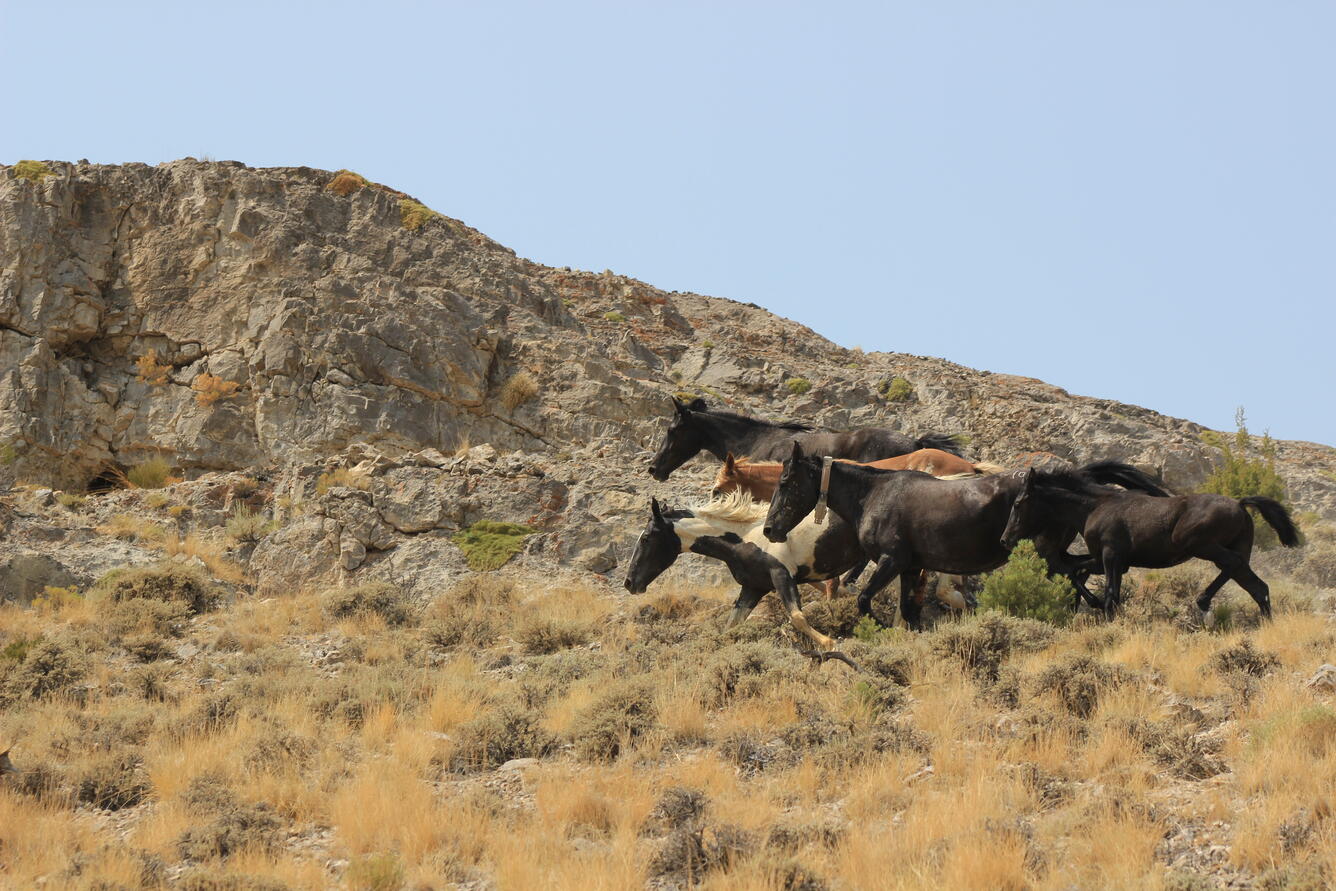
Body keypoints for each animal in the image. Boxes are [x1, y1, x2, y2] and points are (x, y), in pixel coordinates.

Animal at [761, 443, 1167, 628]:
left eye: (785, 481)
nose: (769, 528)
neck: (876, 494)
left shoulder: (892, 561)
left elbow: (863, 599)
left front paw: (878, 626)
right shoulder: (911, 568)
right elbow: (908, 609)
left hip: (1046, 551)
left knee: (1081, 570)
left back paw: (1097, 605)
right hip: (1053, 552)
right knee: (1080, 569)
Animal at [1000, 467, 1300, 620]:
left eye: (1018, 504)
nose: (1005, 539)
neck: (1095, 506)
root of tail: (1240, 504)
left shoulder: (1110, 556)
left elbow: (1110, 595)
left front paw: (1098, 609)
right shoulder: (1111, 560)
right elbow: (1079, 571)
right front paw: (1085, 603)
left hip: (1200, 545)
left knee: (1236, 569)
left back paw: (1203, 601)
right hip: (1234, 549)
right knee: (1256, 586)